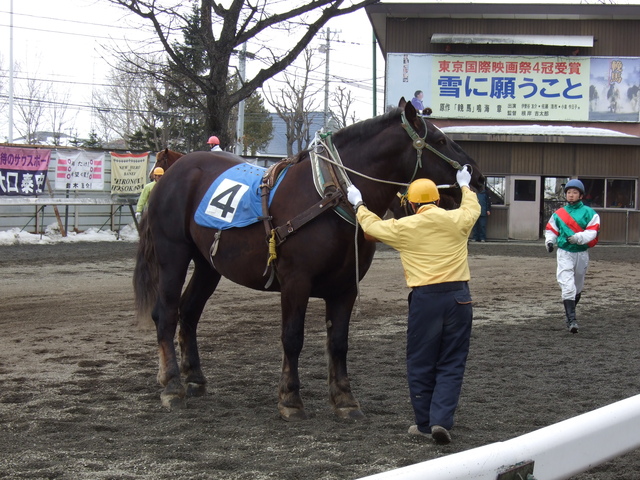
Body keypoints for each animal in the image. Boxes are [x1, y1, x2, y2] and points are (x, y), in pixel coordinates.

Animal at [133, 98, 485, 420]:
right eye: (440, 140)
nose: (477, 177)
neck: (327, 194)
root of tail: (173, 173)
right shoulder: (295, 282)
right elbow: (292, 338)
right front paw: (290, 398)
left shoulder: (346, 288)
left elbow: (339, 342)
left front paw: (344, 399)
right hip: (173, 254)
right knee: (166, 313)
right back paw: (172, 386)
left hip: (208, 264)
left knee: (190, 312)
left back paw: (193, 377)